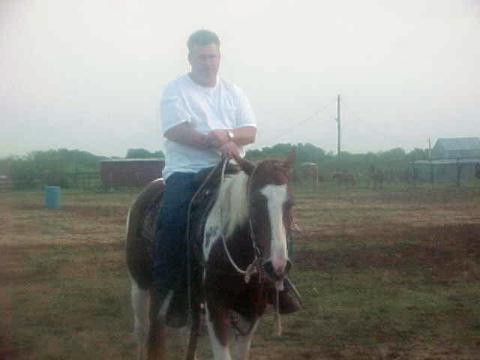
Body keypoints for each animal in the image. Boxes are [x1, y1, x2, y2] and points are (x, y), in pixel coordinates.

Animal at [125, 153, 298, 360]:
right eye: (254, 203)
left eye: (290, 204)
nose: (277, 266)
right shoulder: (216, 307)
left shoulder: (252, 309)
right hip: (140, 284)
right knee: (142, 329)